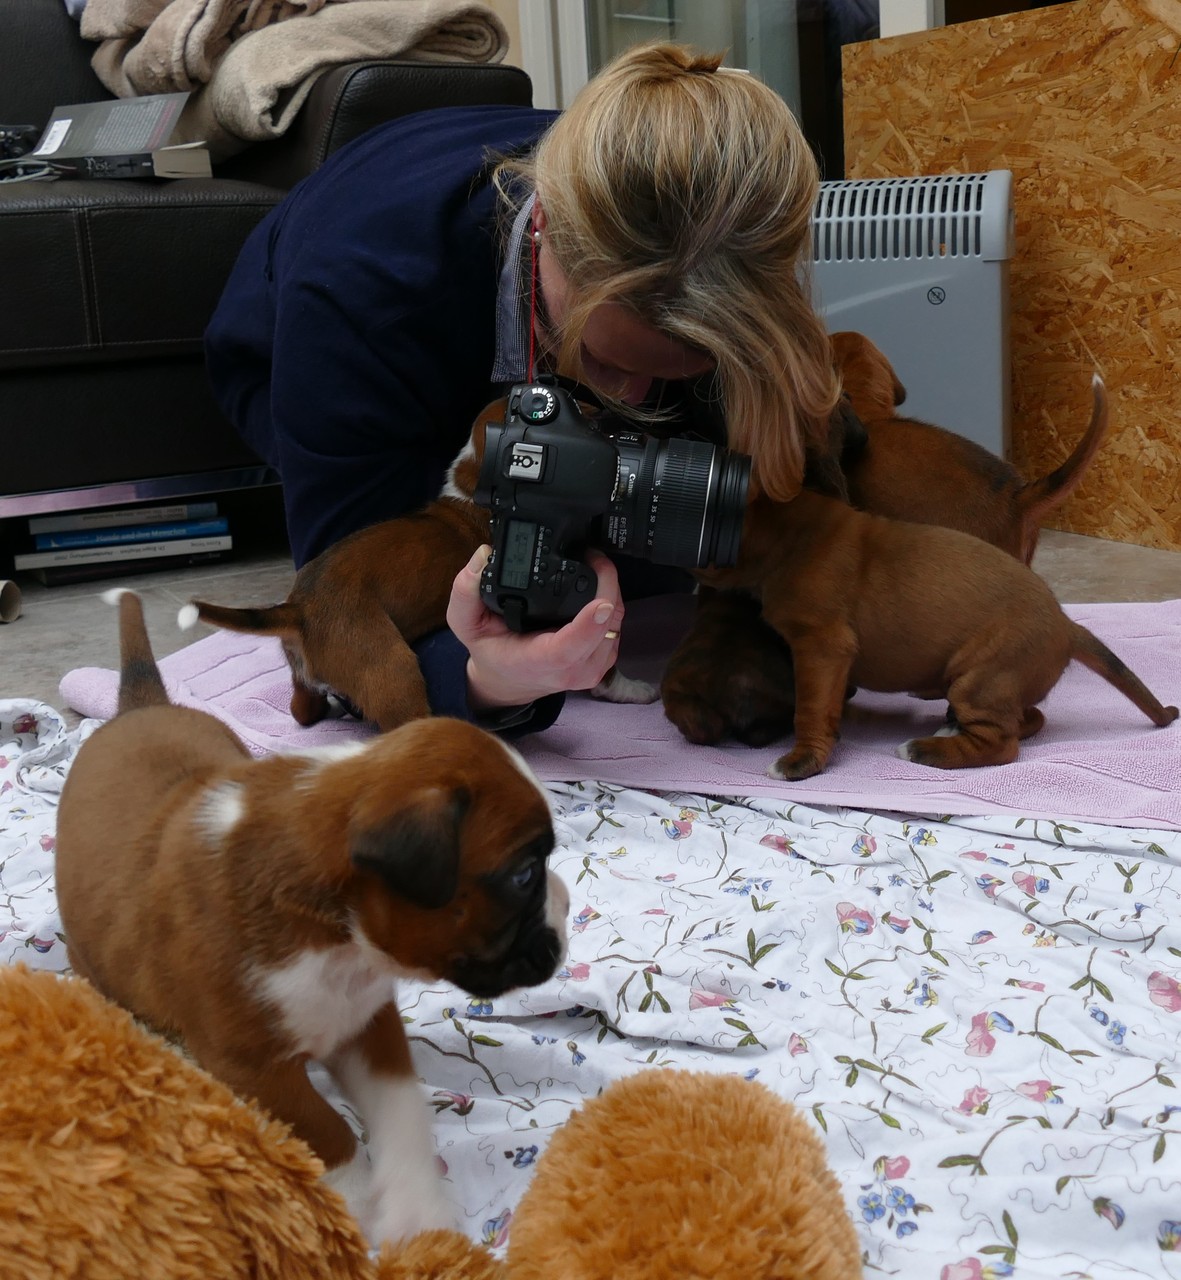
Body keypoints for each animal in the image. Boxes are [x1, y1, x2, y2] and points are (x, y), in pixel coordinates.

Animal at [56, 591, 573, 1249]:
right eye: (524, 875)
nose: (567, 903)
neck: (333, 932)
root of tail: (139, 704)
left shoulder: (366, 1024)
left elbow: (402, 1111)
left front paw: (415, 1209)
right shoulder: (254, 1069)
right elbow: (330, 1135)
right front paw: (357, 1209)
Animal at [696, 373, 1177, 778]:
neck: (796, 529)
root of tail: (1067, 625)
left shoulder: (822, 647)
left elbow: (811, 709)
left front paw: (802, 759)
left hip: (980, 678)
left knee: (1001, 743)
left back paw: (925, 748)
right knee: (1030, 719)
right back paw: (946, 728)